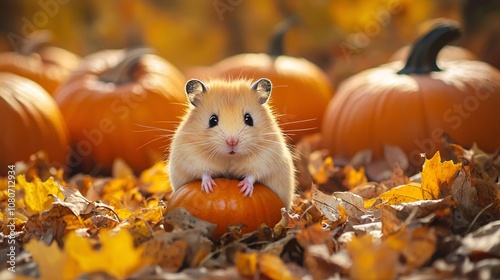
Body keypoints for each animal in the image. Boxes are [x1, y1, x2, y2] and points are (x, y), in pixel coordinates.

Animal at [168, 77, 294, 209]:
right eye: (212, 120)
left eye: (249, 119)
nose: (232, 142)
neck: (229, 157)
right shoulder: (190, 155)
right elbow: (204, 172)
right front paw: (209, 188)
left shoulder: (267, 157)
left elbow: (252, 175)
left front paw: (244, 189)